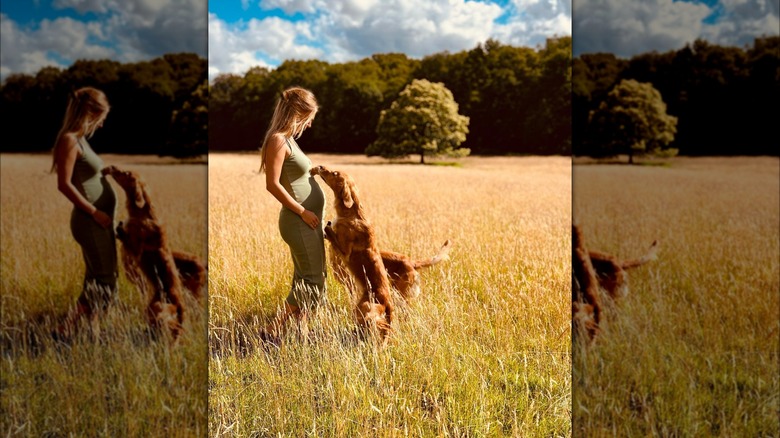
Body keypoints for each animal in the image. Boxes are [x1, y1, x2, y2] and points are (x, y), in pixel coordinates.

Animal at [310, 165, 396, 342]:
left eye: (335, 173)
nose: (320, 166)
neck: (352, 213)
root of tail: (388, 302)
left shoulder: (346, 252)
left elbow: (334, 236)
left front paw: (328, 229)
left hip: (364, 308)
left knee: (379, 325)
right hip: (361, 307)